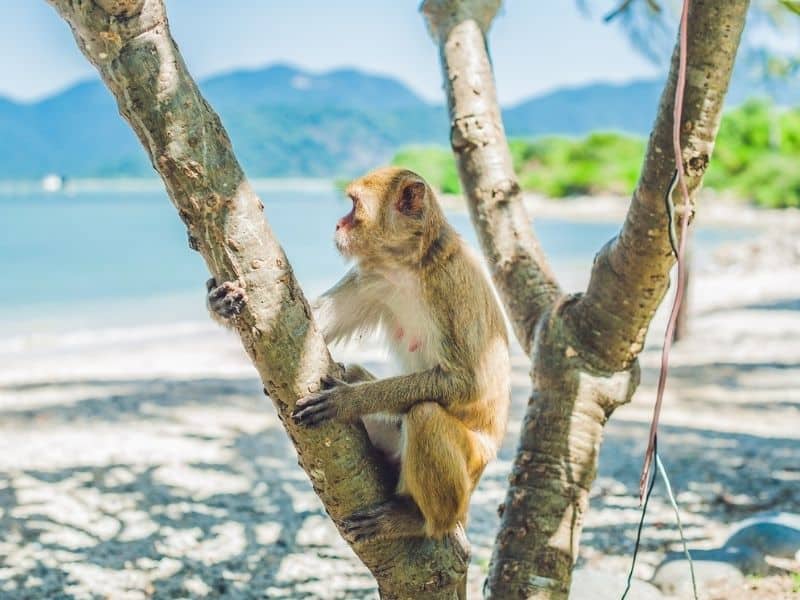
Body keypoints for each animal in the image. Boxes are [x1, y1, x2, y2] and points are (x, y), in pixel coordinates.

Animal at [207, 167, 510, 543]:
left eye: (354, 207)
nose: (338, 224)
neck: (408, 264)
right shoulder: (371, 278)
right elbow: (307, 326)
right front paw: (220, 302)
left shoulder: (450, 285)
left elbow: (468, 383)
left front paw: (349, 401)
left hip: (472, 466)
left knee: (425, 415)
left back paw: (421, 521)